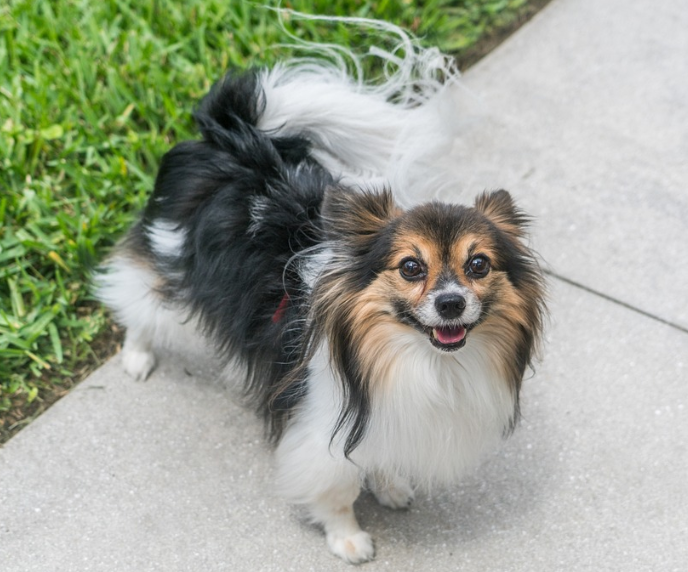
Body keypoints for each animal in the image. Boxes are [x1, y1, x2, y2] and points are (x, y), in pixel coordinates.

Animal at [97, 26, 544, 564]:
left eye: (478, 265)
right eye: (410, 267)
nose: (451, 302)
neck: (418, 361)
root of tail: (236, 135)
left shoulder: (387, 419)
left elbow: (382, 459)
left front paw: (390, 486)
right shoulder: (322, 429)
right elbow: (337, 491)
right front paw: (348, 538)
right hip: (170, 258)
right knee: (138, 299)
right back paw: (138, 356)